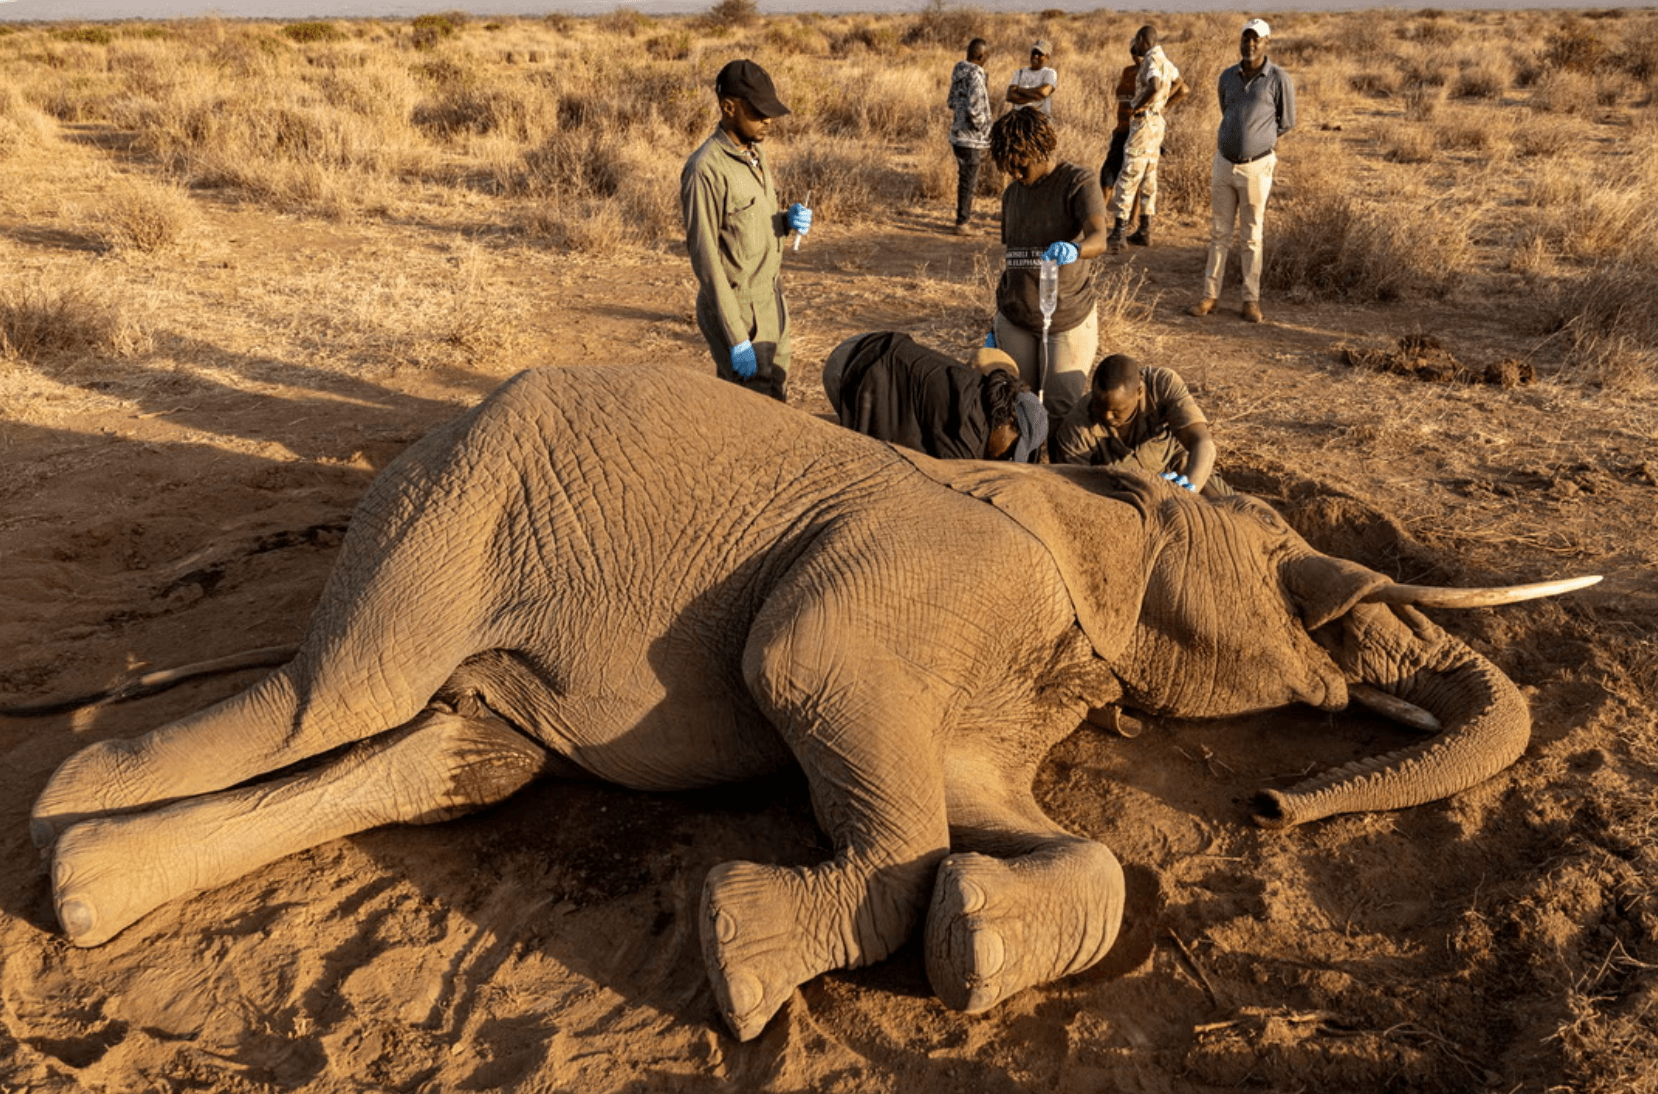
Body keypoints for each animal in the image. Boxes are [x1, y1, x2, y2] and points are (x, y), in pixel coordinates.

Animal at [27, 363, 1599, 1042]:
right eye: (1282, 559)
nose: (1272, 799)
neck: (1078, 498)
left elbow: (1026, 827)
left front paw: (973, 939)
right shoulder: (931, 576)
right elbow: (804, 668)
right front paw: (739, 957)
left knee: (445, 760)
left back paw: (87, 889)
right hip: (451, 510)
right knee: (325, 695)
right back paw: (62, 802)